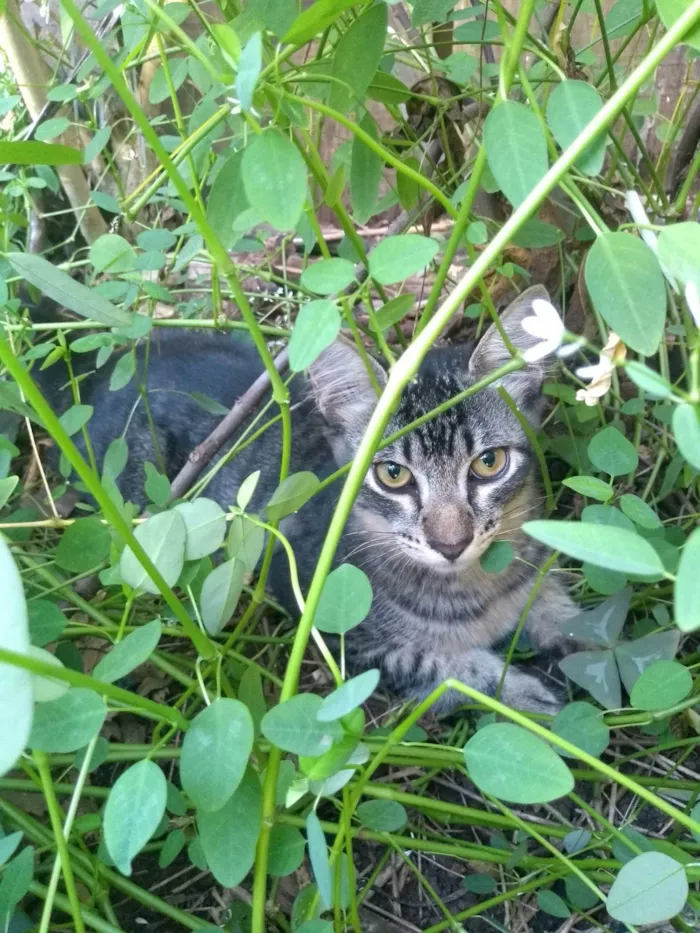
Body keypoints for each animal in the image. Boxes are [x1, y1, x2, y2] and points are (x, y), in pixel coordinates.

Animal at [32, 284, 576, 712]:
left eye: (489, 463)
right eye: (393, 475)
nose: (451, 544)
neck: (469, 587)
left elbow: (558, 605)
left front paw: (578, 633)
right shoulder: (337, 630)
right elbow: (445, 668)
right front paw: (521, 691)